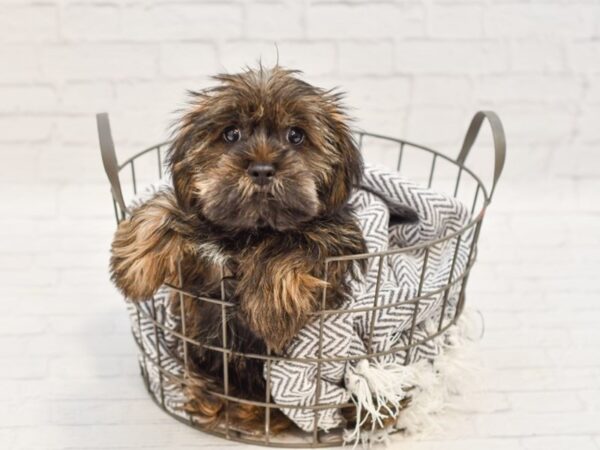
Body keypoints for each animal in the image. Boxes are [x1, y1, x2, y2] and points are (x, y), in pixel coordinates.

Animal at [110, 66, 368, 432]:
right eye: (231, 134)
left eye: (296, 135)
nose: (261, 169)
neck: (250, 233)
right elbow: (169, 208)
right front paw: (132, 265)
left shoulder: (339, 235)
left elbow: (296, 240)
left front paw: (271, 310)